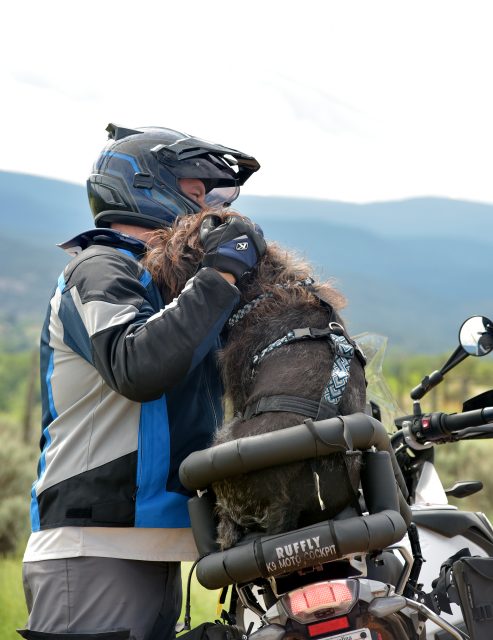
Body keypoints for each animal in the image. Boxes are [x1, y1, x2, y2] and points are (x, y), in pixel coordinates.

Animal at [145, 210, 367, 549]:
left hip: (222, 443)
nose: (151, 250)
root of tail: (285, 503)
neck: (262, 288)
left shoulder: (237, 389)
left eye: (180, 240)